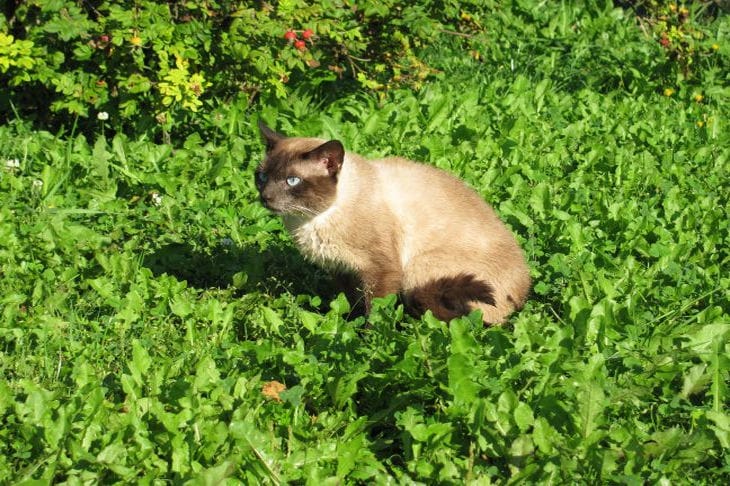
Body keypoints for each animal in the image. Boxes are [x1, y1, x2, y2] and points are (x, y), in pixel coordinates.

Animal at [256, 120, 528, 324]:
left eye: (292, 181)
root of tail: (523, 295)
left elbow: (374, 312)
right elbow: (352, 305)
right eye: (262, 176)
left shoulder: (380, 270)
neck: (312, 219)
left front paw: (366, 340)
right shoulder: (343, 270)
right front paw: (347, 327)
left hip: (418, 269)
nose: (265, 197)